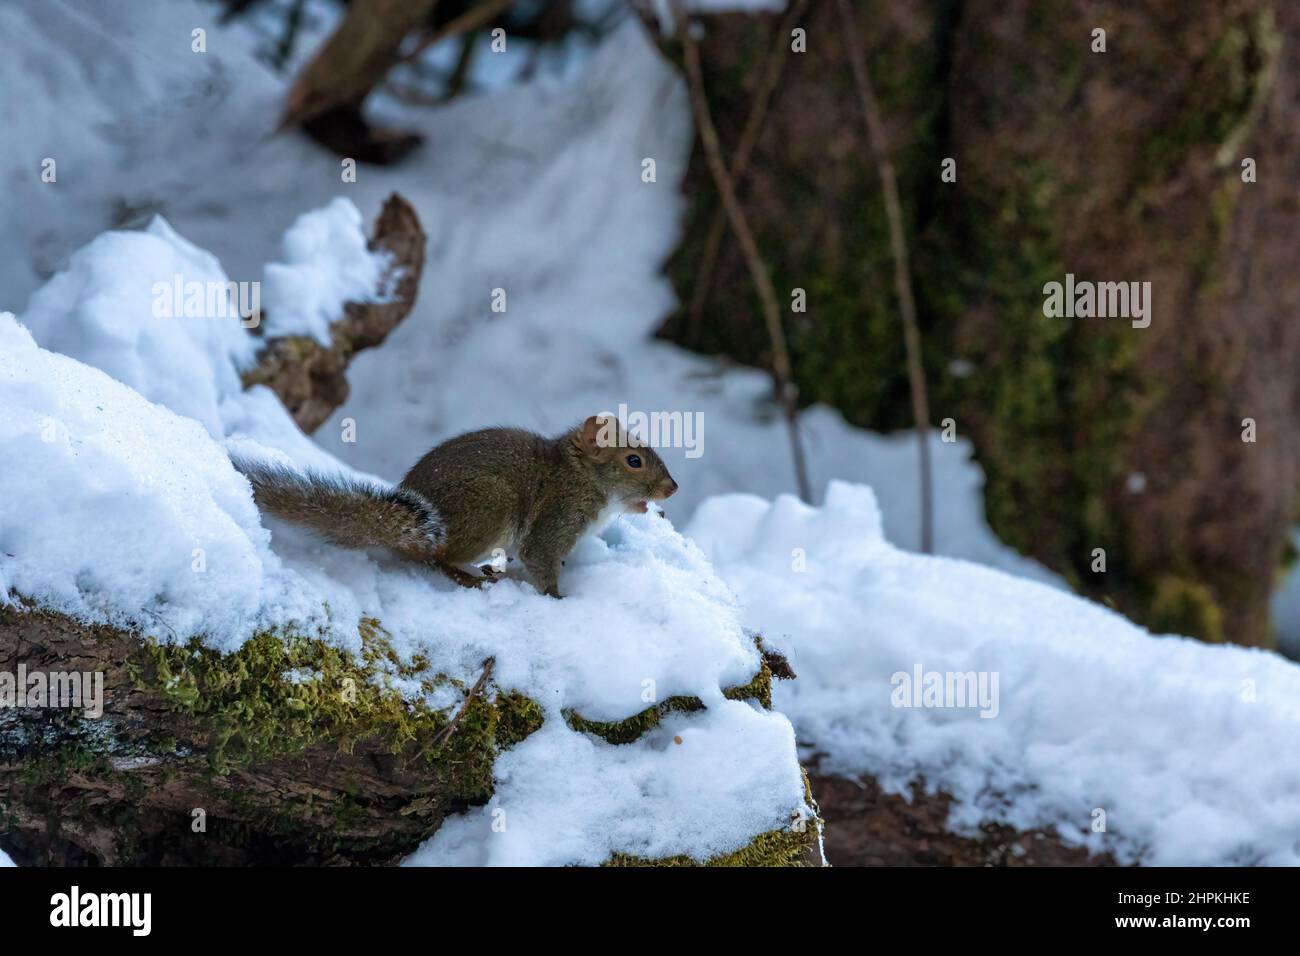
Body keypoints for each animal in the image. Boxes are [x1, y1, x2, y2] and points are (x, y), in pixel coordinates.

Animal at [233, 416, 681, 598]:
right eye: (634, 460)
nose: (672, 489)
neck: (580, 475)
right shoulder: (557, 514)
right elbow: (539, 557)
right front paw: (558, 599)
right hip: (491, 506)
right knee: (440, 559)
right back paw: (473, 577)